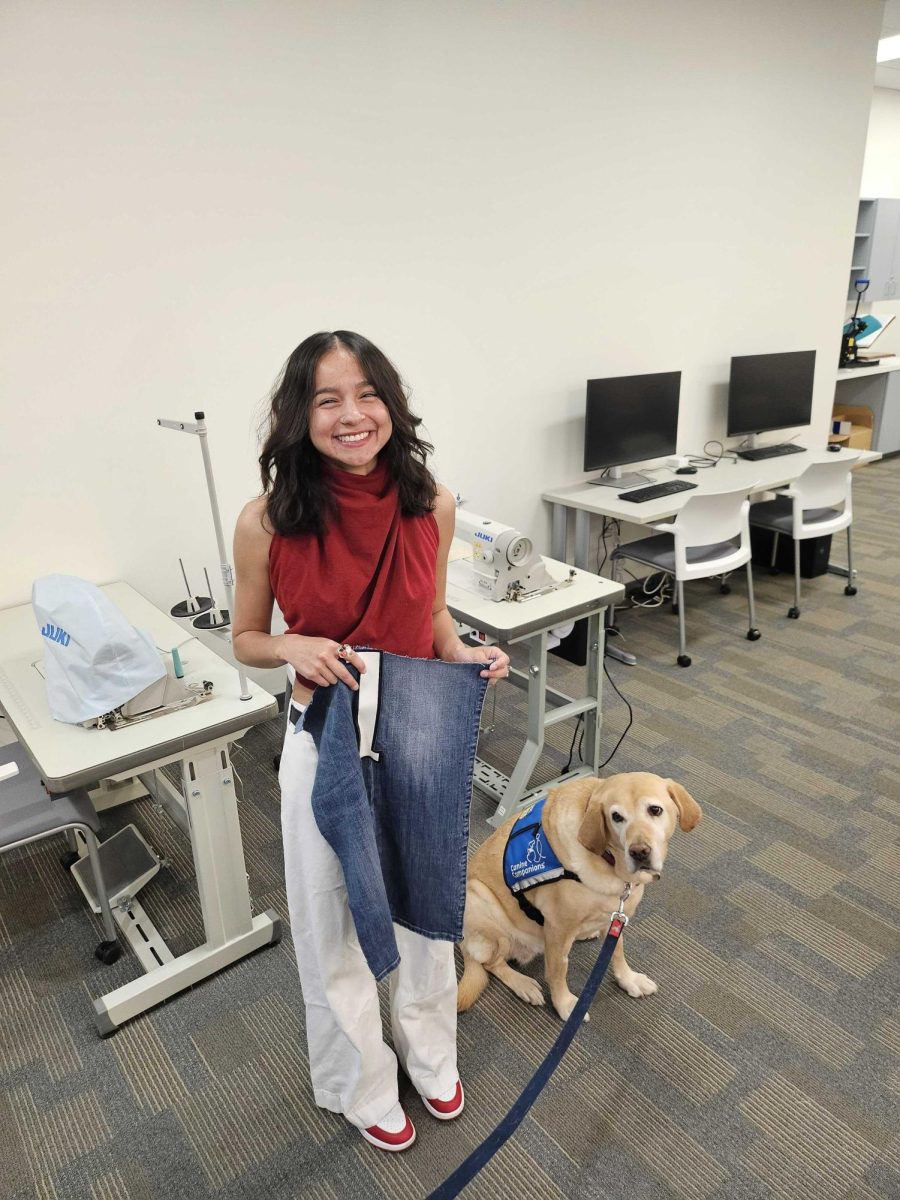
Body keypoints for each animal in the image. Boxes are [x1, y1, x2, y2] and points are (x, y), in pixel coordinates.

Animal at [458, 772, 705, 1017]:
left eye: (655, 810)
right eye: (617, 817)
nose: (639, 852)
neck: (611, 863)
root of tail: (461, 942)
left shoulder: (616, 916)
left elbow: (616, 951)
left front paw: (628, 979)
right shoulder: (559, 927)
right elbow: (558, 970)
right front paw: (565, 1004)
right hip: (479, 900)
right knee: (491, 963)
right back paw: (523, 983)